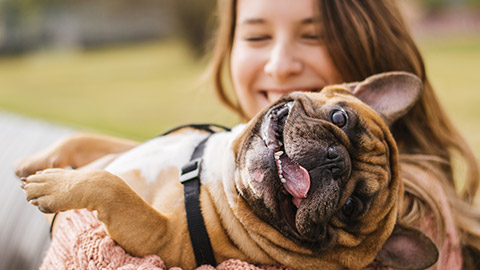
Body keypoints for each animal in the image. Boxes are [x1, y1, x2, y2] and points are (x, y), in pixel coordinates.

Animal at [17, 70, 438, 268]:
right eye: (340, 117)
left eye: (351, 207)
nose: (336, 159)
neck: (220, 172)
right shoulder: (135, 147)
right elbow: (85, 141)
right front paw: (35, 162)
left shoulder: (159, 238)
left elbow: (111, 186)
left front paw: (54, 185)